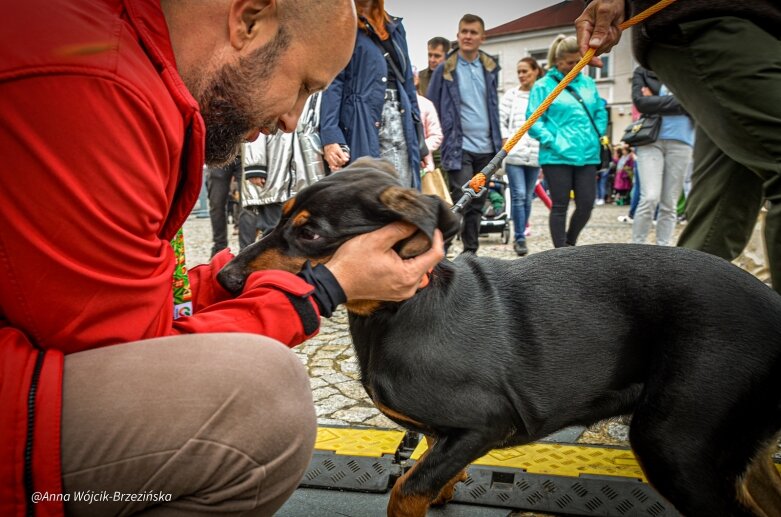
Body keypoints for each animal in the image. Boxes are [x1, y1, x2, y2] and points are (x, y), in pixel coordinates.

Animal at [218, 158, 780, 516]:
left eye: (311, 233)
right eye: (279, 218)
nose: (225, 279)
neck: (404, 307)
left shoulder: (485, 423)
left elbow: (407, 489)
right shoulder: (447, 436)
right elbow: (428, 471)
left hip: (675, 443)